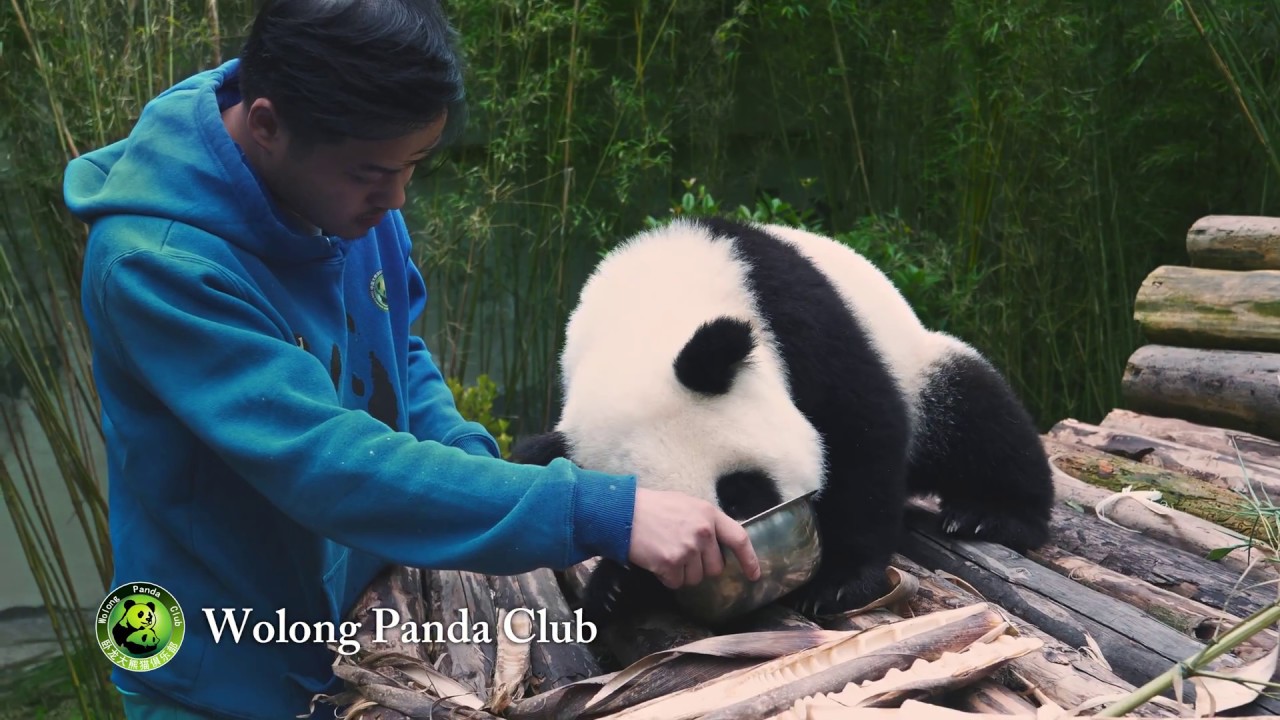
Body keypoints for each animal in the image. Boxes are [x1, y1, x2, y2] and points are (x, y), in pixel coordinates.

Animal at [512, 215, 1054, 623]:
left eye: (740, 490)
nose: (743, 561)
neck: (646, 313)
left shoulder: (792, 319)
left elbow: (861, 436)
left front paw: (841, 582)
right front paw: (616, 588)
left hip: (917, 361)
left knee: (974, 418)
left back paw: (991, 514)